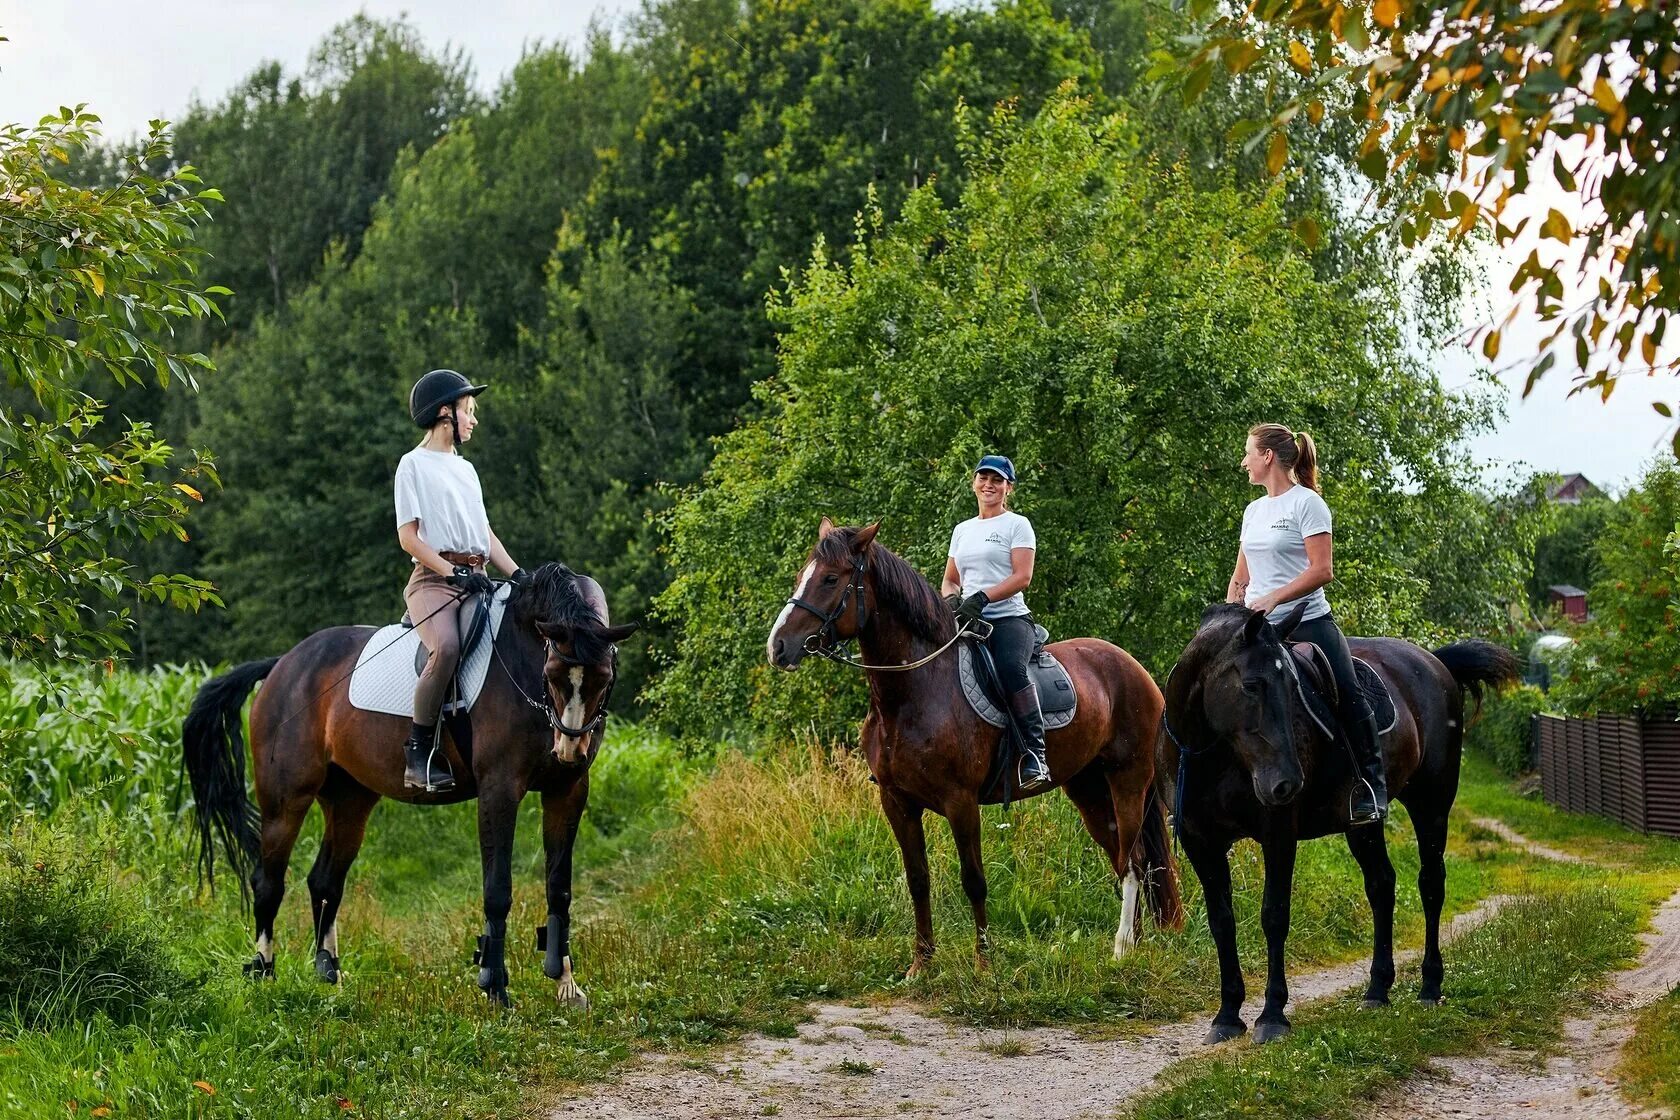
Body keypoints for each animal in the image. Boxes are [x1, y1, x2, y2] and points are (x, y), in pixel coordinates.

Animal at [178, 560, 635, 1007]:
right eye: (554, 674)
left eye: (603, 677)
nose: (569, 748)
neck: (521, 657)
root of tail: (282, 665)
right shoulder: (500, 790)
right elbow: (498, 889)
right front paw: (495, 988)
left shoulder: (568, 790)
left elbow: (559, 889)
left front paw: (567, 987)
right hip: (285, 800)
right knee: (268, 882)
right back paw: (264, 973)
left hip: (350, 800)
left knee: (325, 881)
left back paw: (330, 973)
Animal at [766, 523, 1182, 973]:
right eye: (801, 575)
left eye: (830, 579)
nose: (778, 647)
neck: (915, 691)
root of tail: (1136, 668)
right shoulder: (896, 802)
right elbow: (918, 880)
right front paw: (921, 964)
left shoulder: (960, 801)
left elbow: (974, 880)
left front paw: (984, 964)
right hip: (1088, 790)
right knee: (1124, 858)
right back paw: (1134, 942)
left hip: (1128, 782)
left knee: (1134, 860)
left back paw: (1122, 947)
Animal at [1162, 607, 1518, 1047]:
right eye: (1251, 685)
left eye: (1292, 687)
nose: (1286, 783)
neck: (1212, 755)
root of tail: (1433, 662)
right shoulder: (1201, 842)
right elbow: (1221, 922)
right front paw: (1227, 1016)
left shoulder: (1278, 834)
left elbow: (1274, 915)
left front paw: (1272, 1016)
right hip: (1362, 824)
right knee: (1382, 885)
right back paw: (1377, 991)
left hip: (1431, 805)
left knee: (1431, 883)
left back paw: (1430, 987)